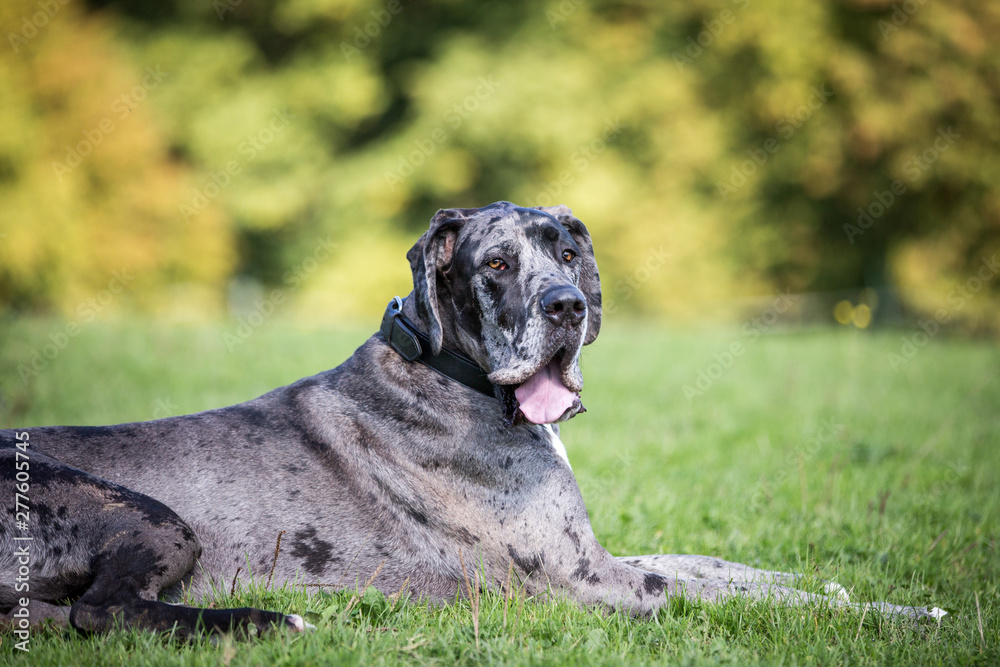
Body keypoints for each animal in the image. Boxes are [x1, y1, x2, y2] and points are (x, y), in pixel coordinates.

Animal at [0, 202, 940, 636]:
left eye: (568, 250)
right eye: (494, 263)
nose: (566, 306)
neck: (454, 372)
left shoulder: (598, 555)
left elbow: (717, 564)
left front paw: (826, 581)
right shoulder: (589, 582)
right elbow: (734, 593)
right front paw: (900, 614)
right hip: (151, 516)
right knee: (103, 610)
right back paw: (265, 621)